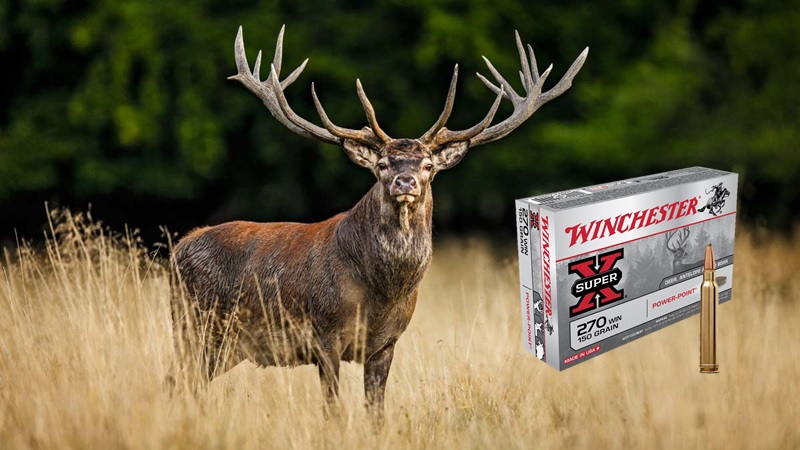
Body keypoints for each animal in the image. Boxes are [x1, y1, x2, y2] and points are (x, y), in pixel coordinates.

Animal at [170, 25, 587, 421]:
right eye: (382, 164)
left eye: (428, 165)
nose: (405, 181)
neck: (381, 293)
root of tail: (178, 249)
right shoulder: (324, 334)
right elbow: (333, 410)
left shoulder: (387, 343)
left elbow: (376, 411)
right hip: (195, 326)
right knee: (178, 381)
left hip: (222, 344)